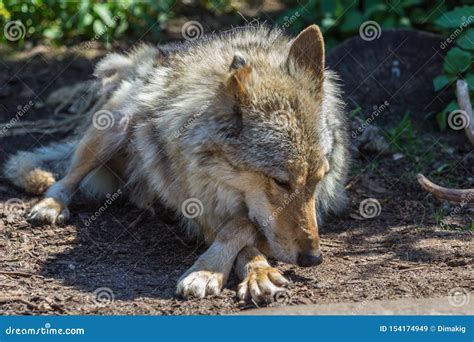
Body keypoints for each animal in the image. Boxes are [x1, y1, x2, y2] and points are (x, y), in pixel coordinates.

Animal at [4, 24, 348, 302]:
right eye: (281, 182)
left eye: (318, 179)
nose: (313, 259)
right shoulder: (198, 208)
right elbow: (239, 228)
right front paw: (213, 272)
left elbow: (244, 225)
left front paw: (252, 273)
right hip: (116, 124)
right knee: (67, 177)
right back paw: (51, 205)